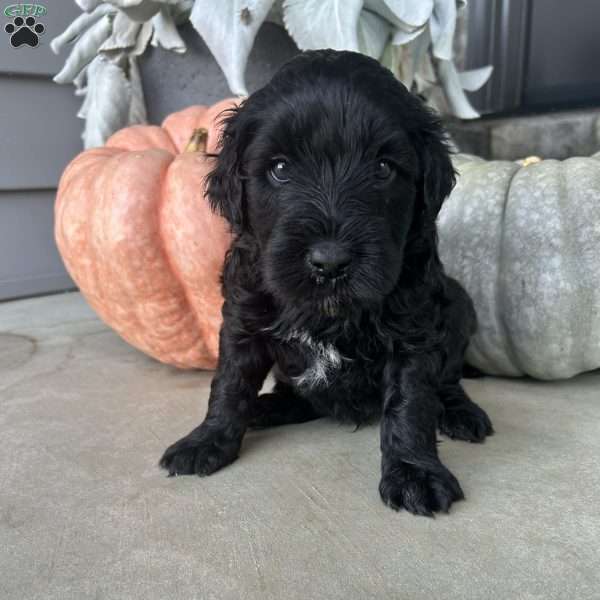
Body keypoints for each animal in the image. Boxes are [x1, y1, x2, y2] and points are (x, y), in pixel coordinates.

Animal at [161, 49, 492, 516]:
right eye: (280, 168)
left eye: (383, 168)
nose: (330, 262)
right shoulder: (244, 315)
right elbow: (229, 383)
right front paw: (207, 440)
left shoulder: (413, 327)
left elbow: (411, 401)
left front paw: (415, 472)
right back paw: (268, 407)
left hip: (459, 303)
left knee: (447, 380)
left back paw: (461, 413)